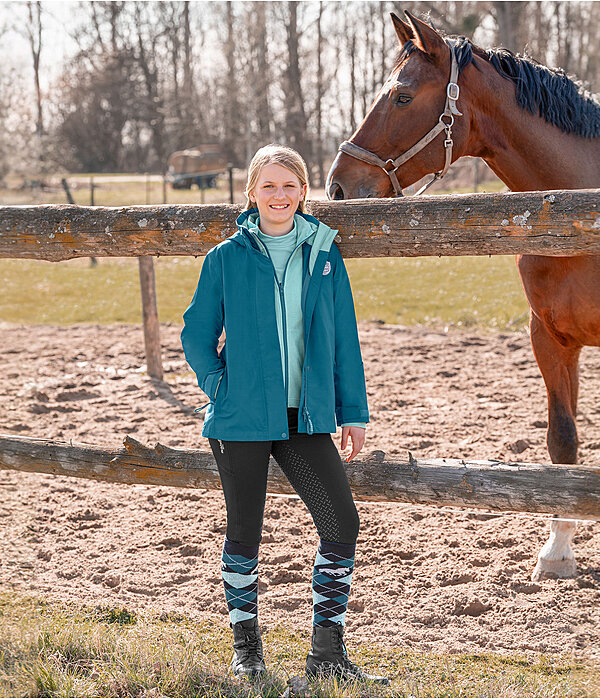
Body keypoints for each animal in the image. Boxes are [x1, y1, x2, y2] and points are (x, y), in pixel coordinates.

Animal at [328, 12, 600, 580]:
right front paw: (558, 549)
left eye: (403, 96)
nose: (338, 186)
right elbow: (562, 442)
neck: (578, 213)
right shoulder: (550, 339)